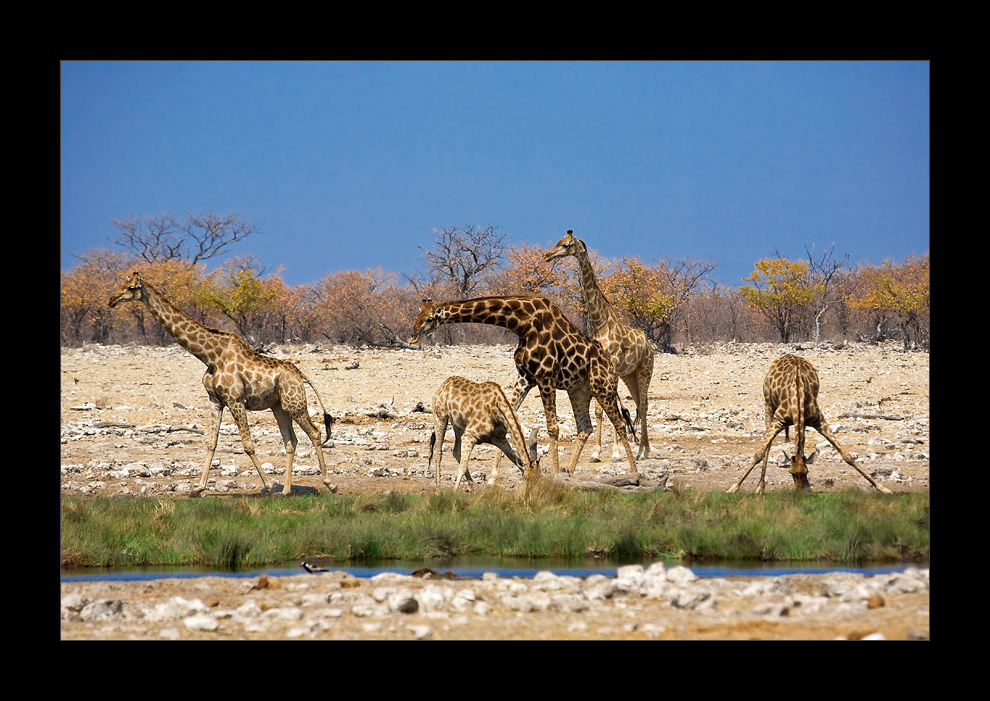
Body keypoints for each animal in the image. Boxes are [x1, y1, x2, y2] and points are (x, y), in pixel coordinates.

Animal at [107, 270, 336, 494]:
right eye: (121, 284)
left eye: (131, 288)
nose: (111, 300)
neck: (211, 356)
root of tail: (300, 375)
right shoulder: (215, 401)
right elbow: (211, 442)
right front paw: (198, 488)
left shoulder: (236, 400)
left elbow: (247, 444)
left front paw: (269, 485)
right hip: (278, 406)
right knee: (291, 441)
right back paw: (287, 491)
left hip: (294, 403)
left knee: (315, 433)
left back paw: (329, 484)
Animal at [406, 292, 640, 474]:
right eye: (418, 315)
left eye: (429, 319)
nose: (412, 337)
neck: (521, 324)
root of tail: (609, 364)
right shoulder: (525, 376)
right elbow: (511, 419)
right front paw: (496, 477)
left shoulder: (545, 376)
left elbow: (552, 428)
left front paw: (554, 475)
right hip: (579, 391)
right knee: (585, 428)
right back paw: (571, 472)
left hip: (602, 386)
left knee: (620, 423)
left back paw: (634, 473)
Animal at [548, 227, 656, 462]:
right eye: (557, 241)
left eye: (566, 245)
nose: (547, 255)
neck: (600, 322)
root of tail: (648, 344)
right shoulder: (599, 367)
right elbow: (601, 410)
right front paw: (597, 451)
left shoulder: (611, 365)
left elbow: (607, 409)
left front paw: (613, 452)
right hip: (629, 375)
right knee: (638, 403)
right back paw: (641, 448)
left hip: (645, 370)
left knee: (644, 404)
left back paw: (644, 450)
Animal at [724, 352, 896, 494]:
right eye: (791, 473)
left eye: (805, 472)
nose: (800, 492)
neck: (798, 396)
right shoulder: (779, 419)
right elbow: (758, 454)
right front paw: (734, 487)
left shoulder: (817, 419)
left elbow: (847, 455)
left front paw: (883, 488)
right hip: (768, 404)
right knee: (768, 445)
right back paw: (760, 487)